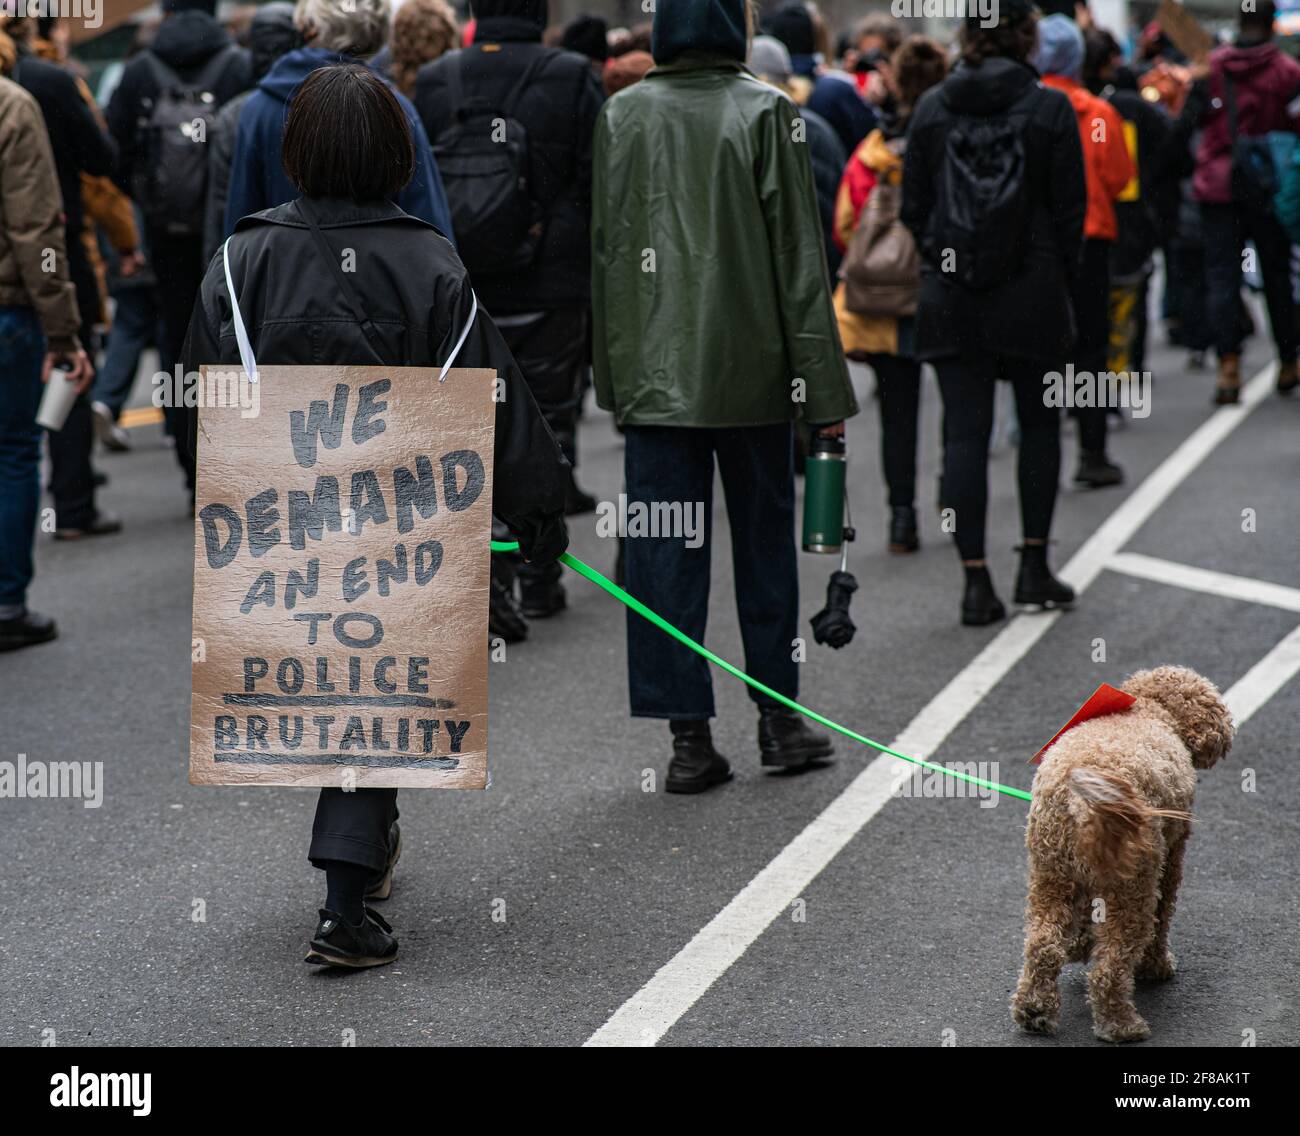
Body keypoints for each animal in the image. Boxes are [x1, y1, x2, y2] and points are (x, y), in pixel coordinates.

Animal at [1008, 662, 1232, 1045]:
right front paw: (1155, 966)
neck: (1149, 709)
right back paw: (1121, 1025)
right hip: (1131, 883)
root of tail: (1078, 798)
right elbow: (1163, 913)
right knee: (1111, 964)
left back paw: (1034, 1009)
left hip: (1052, 870)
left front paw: (1079, 944)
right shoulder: (1169, 856)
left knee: (1043, 942)